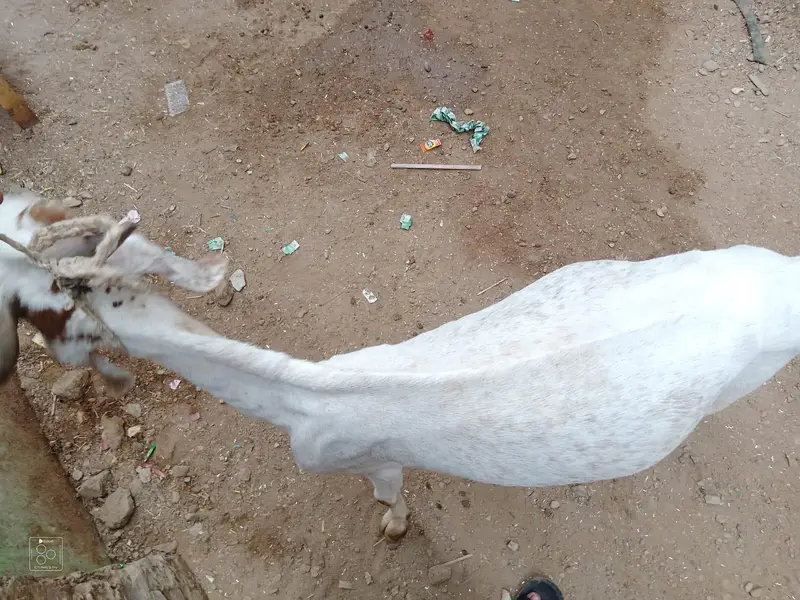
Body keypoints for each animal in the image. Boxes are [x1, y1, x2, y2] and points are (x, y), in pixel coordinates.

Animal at [18, 242, 799, 542]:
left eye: (77, 307)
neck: (303, 399)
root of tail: (783, 273)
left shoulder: (369, 459)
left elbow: (389, 496)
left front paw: (393, 528)